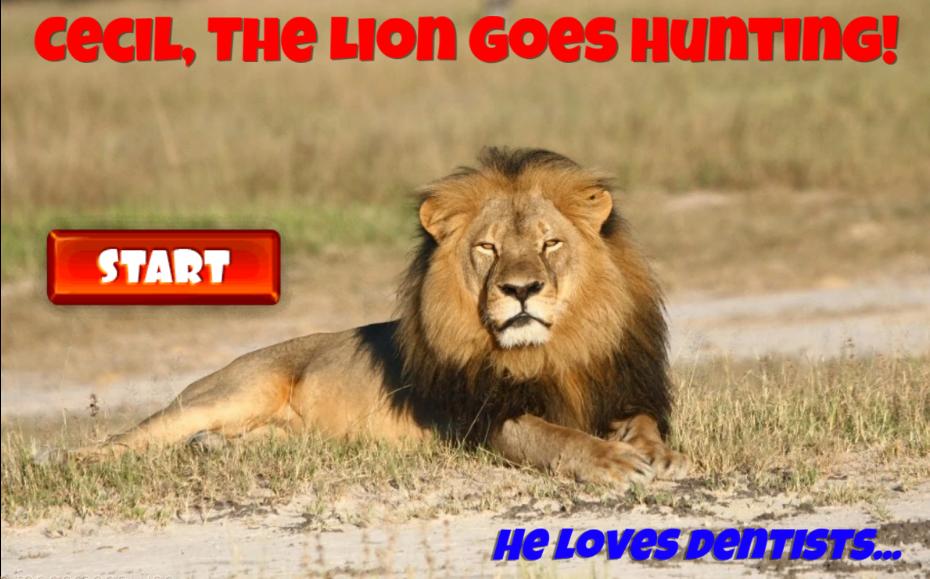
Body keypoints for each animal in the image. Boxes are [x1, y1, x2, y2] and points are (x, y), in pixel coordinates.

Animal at [77, 148, 689, 485]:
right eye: (488, 248)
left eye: (550, 243)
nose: (520, 289)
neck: (551, 351)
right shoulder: (482, 419)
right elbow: (553, 437)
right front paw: (612, 462)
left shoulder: (623, 390)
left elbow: (645, 424)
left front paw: (659, 456)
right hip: (231, 392)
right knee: (127, 438)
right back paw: (78, 460)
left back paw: (212, 448)